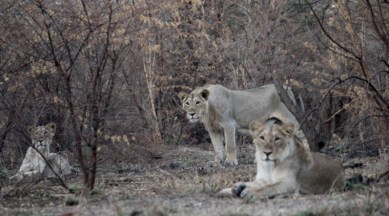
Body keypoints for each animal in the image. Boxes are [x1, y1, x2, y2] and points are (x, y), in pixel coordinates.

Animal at [177, 84, 308, 165]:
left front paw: (231, 162)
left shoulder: (229, 124)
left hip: (290, 119)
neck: (209, 111)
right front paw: (216, 162)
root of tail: (289, 87)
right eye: (187, 103)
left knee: (304, 136)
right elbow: (217, 147)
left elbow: (229, 145)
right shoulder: (213, 129)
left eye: (197, 102)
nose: (191, 114)